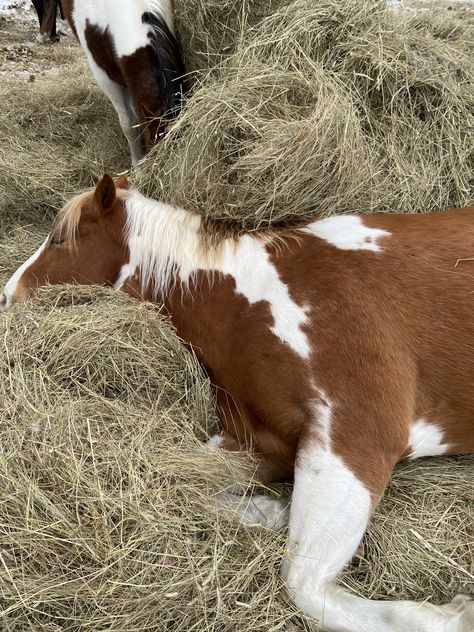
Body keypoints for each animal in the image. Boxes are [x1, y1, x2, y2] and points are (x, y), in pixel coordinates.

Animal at [0, 174, 474, 632]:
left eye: (59, 240)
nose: (6, 295)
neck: (247, 307)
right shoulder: (258, 441)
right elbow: (179, 484)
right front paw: (272, 511)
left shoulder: (355, 437)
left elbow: (304, 585)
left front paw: (457, 616)